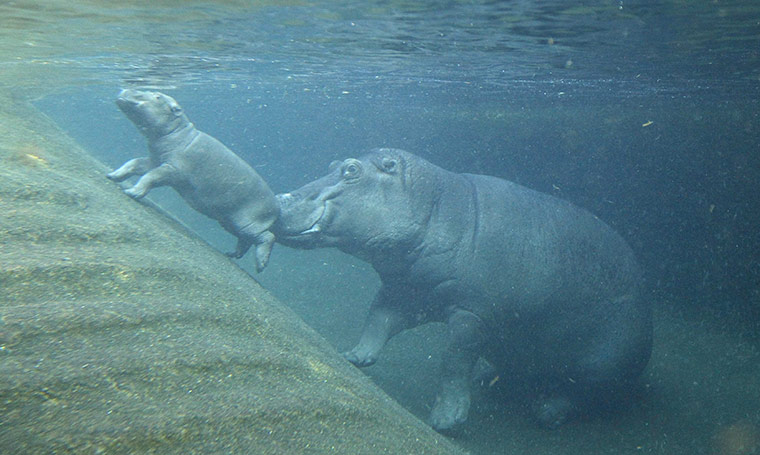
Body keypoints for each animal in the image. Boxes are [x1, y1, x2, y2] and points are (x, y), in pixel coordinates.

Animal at [107, 89, 279, 272]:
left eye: (158, 96)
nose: (126, 89)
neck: (178, 131)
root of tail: (277, 207)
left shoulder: (171, 170)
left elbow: (150, 176)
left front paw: (132, 192)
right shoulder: (155, 160)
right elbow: (133, 163)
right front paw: (113, 175)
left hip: (247, 222)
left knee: (267, 237)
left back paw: (260, 265)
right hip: (229, 221)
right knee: (245, 240)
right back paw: (233, 254)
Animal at [274, 148, 652, 431]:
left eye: (351, 170)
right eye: (332, 164)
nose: (278, 198)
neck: (436, 204)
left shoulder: (472, 313)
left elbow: (453, 363)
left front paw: (446, 422)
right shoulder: (409, 290)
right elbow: (377, 319)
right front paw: (353, 357)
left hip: (605, 362)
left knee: (585, 394)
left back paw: (546, 412)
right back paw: (488, 378)